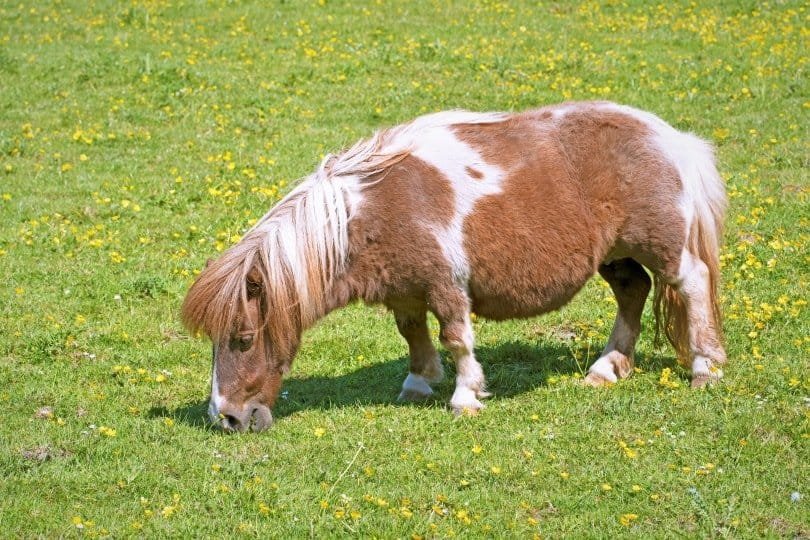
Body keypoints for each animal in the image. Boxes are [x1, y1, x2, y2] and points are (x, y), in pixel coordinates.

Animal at [181, 101, 724, 434]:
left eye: (243, 339)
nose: (226, 418)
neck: (376, 208)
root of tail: (670, 137)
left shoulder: (446, 285)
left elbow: (456, 337)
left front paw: (465, 396)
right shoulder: (403, 288)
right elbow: (412, 333)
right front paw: (419, 383)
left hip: (661, 244)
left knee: (691, 284)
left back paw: (704, 368)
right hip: (615, 255)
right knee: (634, 292)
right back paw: (607, 368)